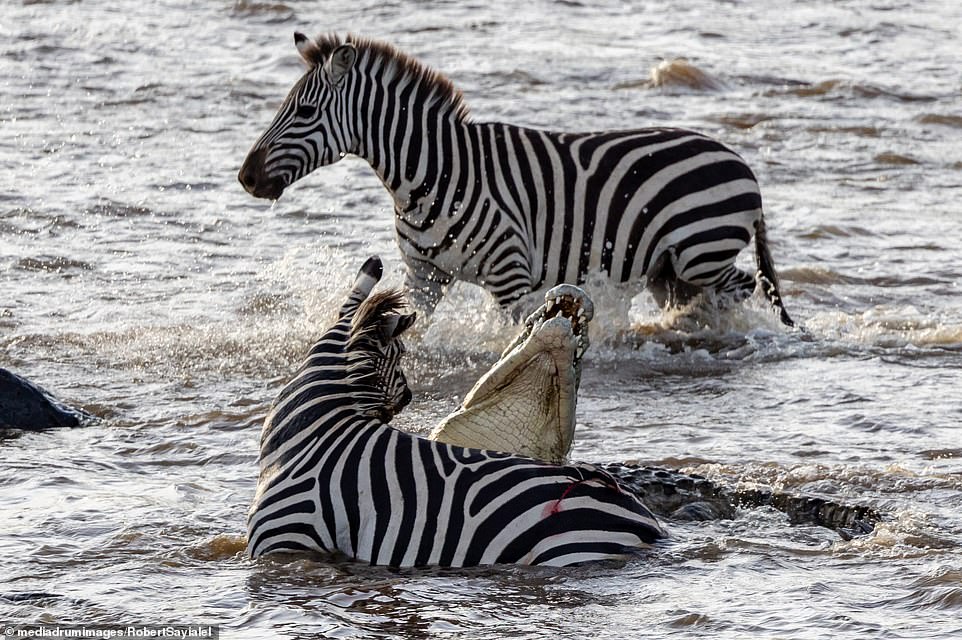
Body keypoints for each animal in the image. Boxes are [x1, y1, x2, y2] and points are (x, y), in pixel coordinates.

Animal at [240, 33, 796, 328]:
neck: (430, 176)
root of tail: (743, 164)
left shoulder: (511, 277)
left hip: (700, 250)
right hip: (670, 269)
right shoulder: (424, 276)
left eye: (304, 111)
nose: (245, 178)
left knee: (741, 286)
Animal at [248, 255, 664, 564]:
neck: (315, 427)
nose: (408, 398)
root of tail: (648, 522)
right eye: (402, 355)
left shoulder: (285, 538)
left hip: (565, 548)